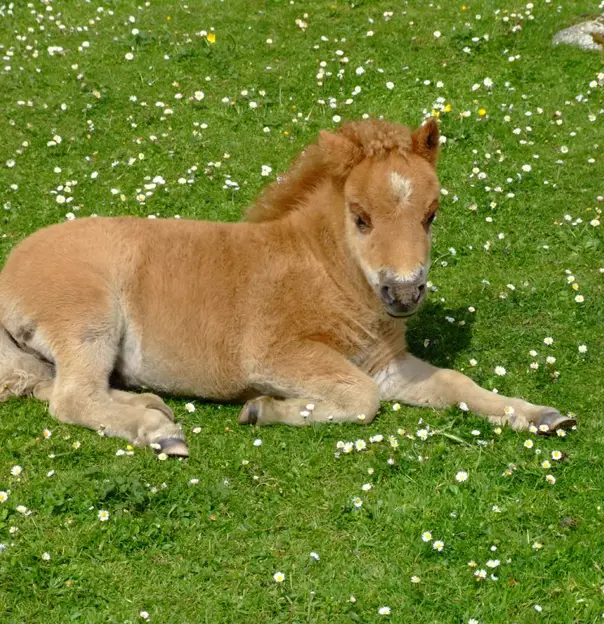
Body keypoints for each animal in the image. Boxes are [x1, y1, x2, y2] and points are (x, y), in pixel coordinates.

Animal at [0, 119, 576, 456]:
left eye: (431, 215)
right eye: (360, 217)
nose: (405, 294)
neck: (326, 271)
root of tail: (9, 272)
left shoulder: (384, 364)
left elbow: (455, 383)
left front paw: (542, 416)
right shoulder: (274, 355)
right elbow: (362, 399)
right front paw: (264, 410)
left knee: (58, 387)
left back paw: (149, 406)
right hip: (88, 318)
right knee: (71, 398)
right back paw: (159, 432)